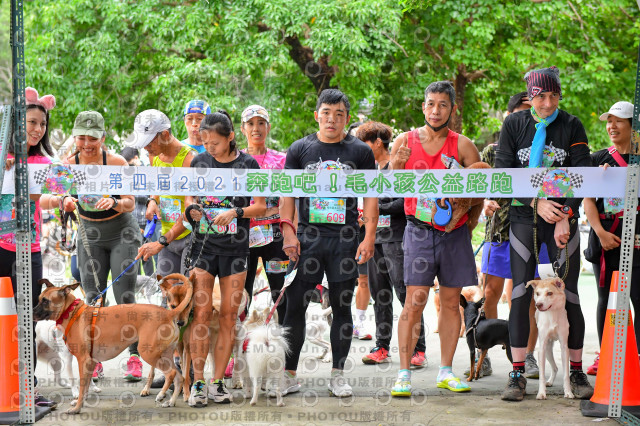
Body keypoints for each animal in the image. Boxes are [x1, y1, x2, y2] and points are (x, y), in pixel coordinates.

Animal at [33, 276, 191, 412]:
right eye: (40, 299)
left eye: (45, 301)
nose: (32, 313)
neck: (72, 312)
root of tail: (168, 313)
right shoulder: (90, 362)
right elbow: (86, 386)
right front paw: (81, 402)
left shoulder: (82, 360)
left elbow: (82, 386)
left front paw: (77, 408)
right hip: (166, 355)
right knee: (180, 377)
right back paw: (171, 401)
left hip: (150, 353)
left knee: (171, 374)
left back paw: (163, 396)